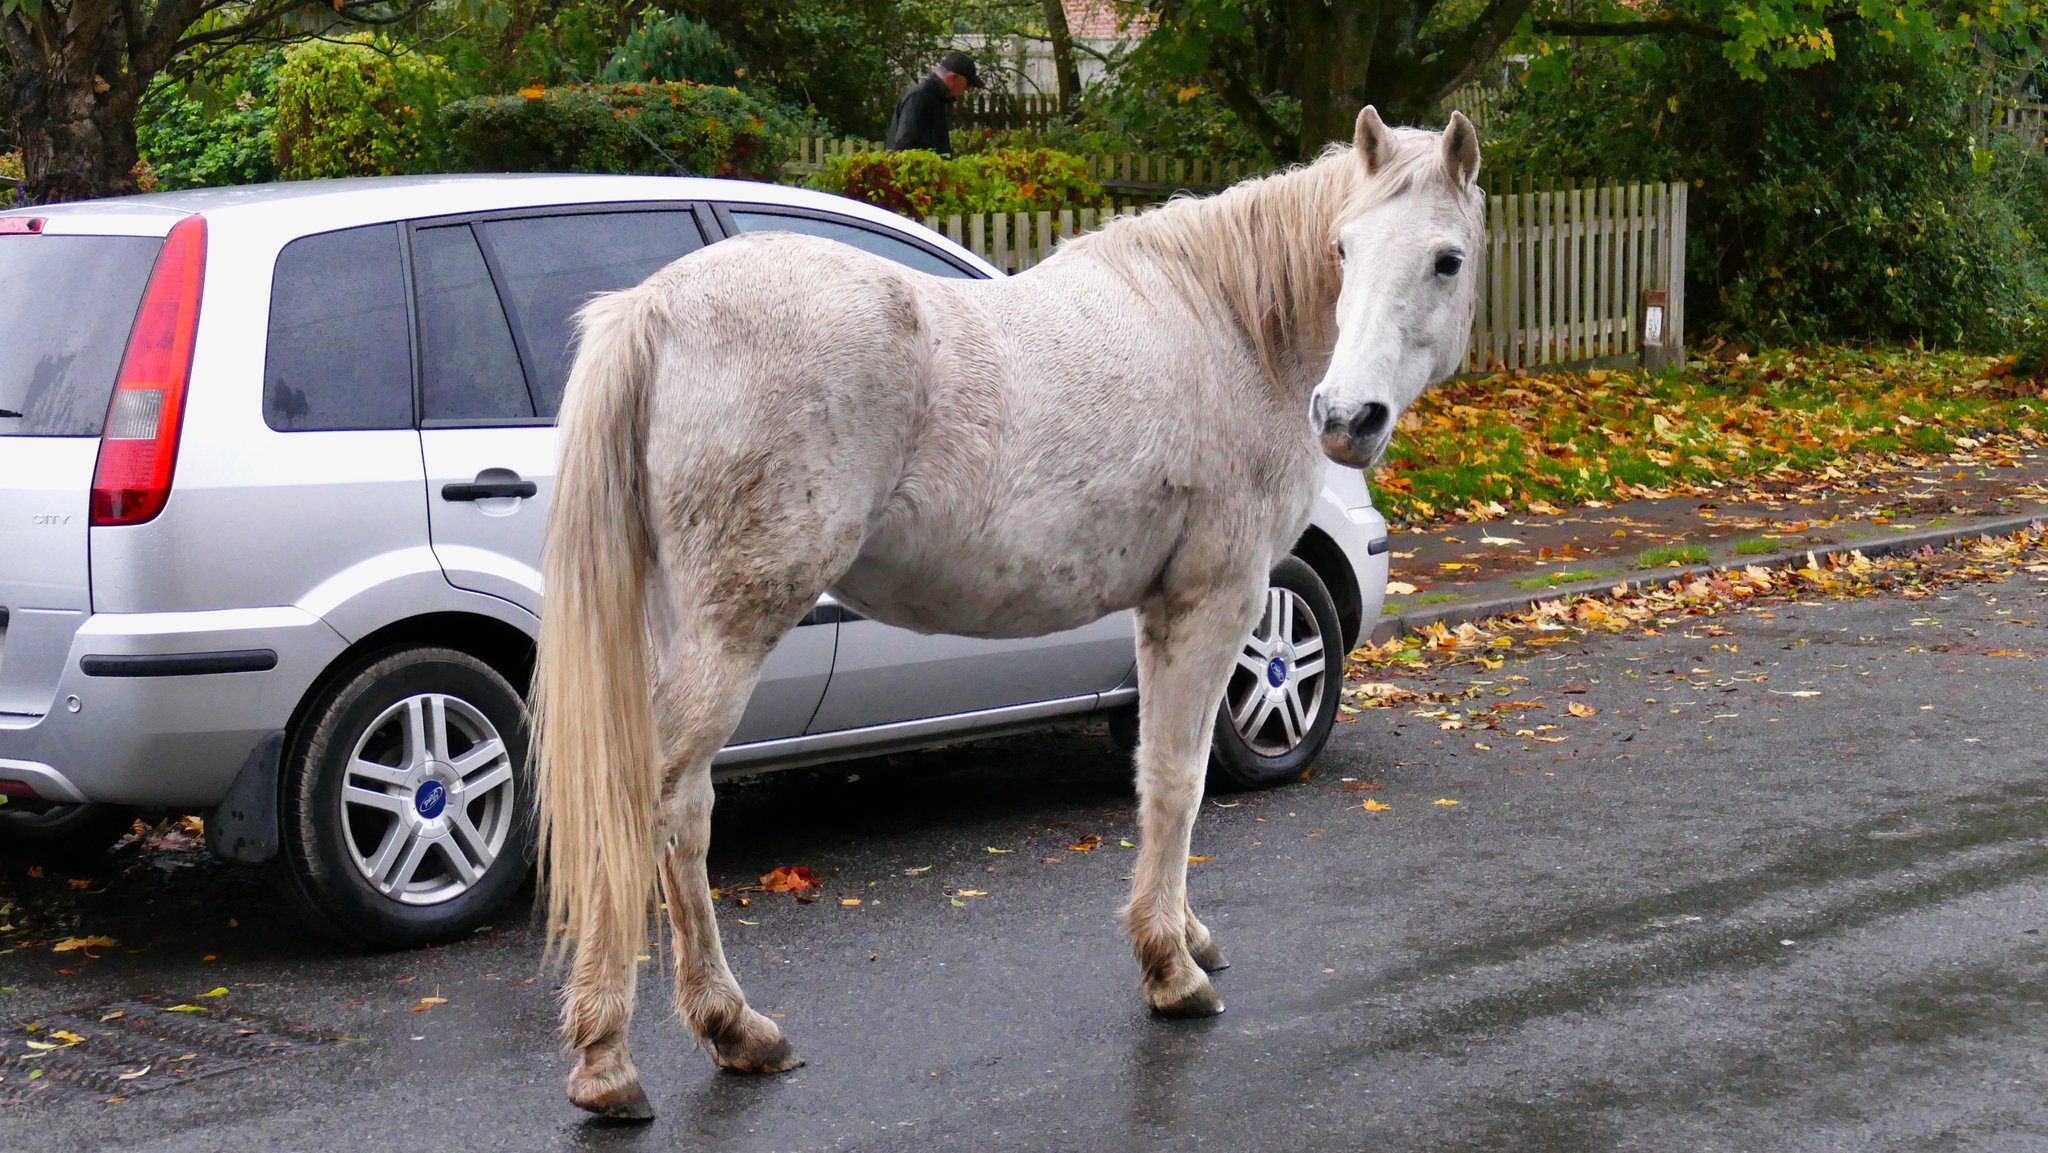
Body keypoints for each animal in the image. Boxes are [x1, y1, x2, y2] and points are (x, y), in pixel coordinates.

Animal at [536, 105, 1482, 1122]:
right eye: (1344, 248)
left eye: (1446, 259)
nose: (1347, 417)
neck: (1228, 327)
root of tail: (656, 309)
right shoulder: (1215, 601)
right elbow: (1182, 781)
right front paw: (1170, 969)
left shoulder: (1160, 613)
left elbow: (1156, 774)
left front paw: (1185, 932)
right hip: (731, 628)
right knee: (665, 802)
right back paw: (652, 1047)